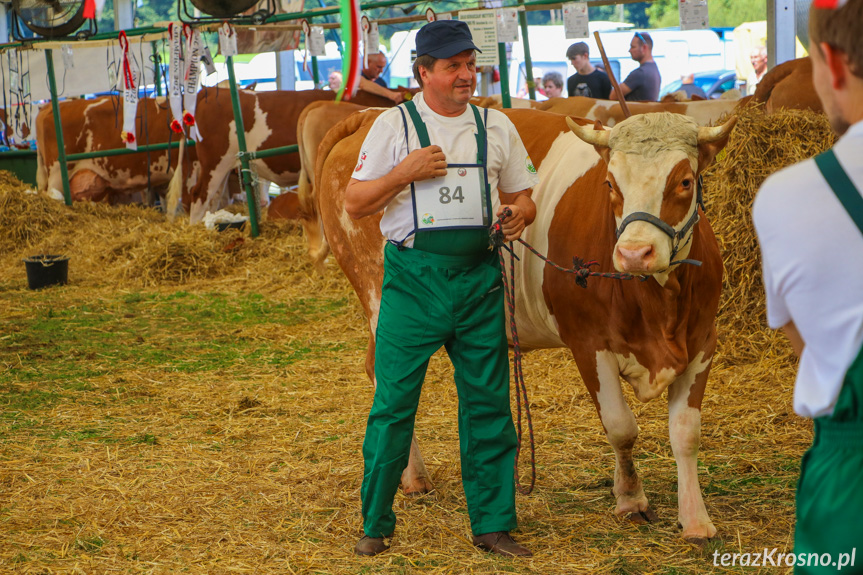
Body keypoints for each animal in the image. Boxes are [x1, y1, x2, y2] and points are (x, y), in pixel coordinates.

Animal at [318, 108, 736, 544]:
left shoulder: (702, 341)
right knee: (389, 381)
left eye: (684, 181)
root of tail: (366, 115)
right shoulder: (588, 343)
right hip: (380, 300)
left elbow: (685, 433)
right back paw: (413, 476)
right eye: (609, 183)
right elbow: (621, 427)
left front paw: (695, 519)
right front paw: (630, 498)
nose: (635, 253)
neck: (657, 306)